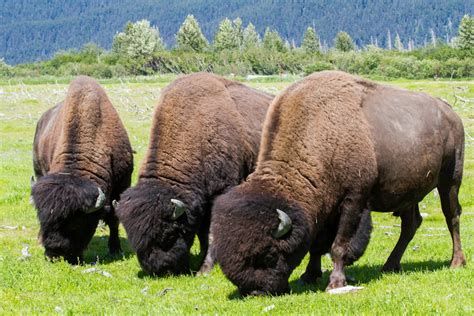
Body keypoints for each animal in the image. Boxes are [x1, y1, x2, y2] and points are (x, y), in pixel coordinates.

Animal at [30, 76, 133, 264]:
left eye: (76, 223)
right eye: (41, 217)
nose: (55, 254)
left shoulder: (121, 185)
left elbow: (114, 218)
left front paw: (115, 248)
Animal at [115, 72, 274, 276]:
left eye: (169, 234)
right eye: (133, 238)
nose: (160, 271)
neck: (196, 126)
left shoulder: (221, 191)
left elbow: (212, 231)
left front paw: (205, 269)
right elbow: (202, 233)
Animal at [212, 70, 466, 296]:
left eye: (269, 254)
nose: (255, 291)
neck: (319, 132)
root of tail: (452, 114)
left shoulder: (353, 201)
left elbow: (338, 245)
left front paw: (334, 282)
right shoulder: (322, 206)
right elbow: (316, 244)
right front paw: (309, 276)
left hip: (450, 181)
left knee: (451, 217)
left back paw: (456, 262)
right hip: (409, 195)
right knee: (411, 224)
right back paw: (389, 265)